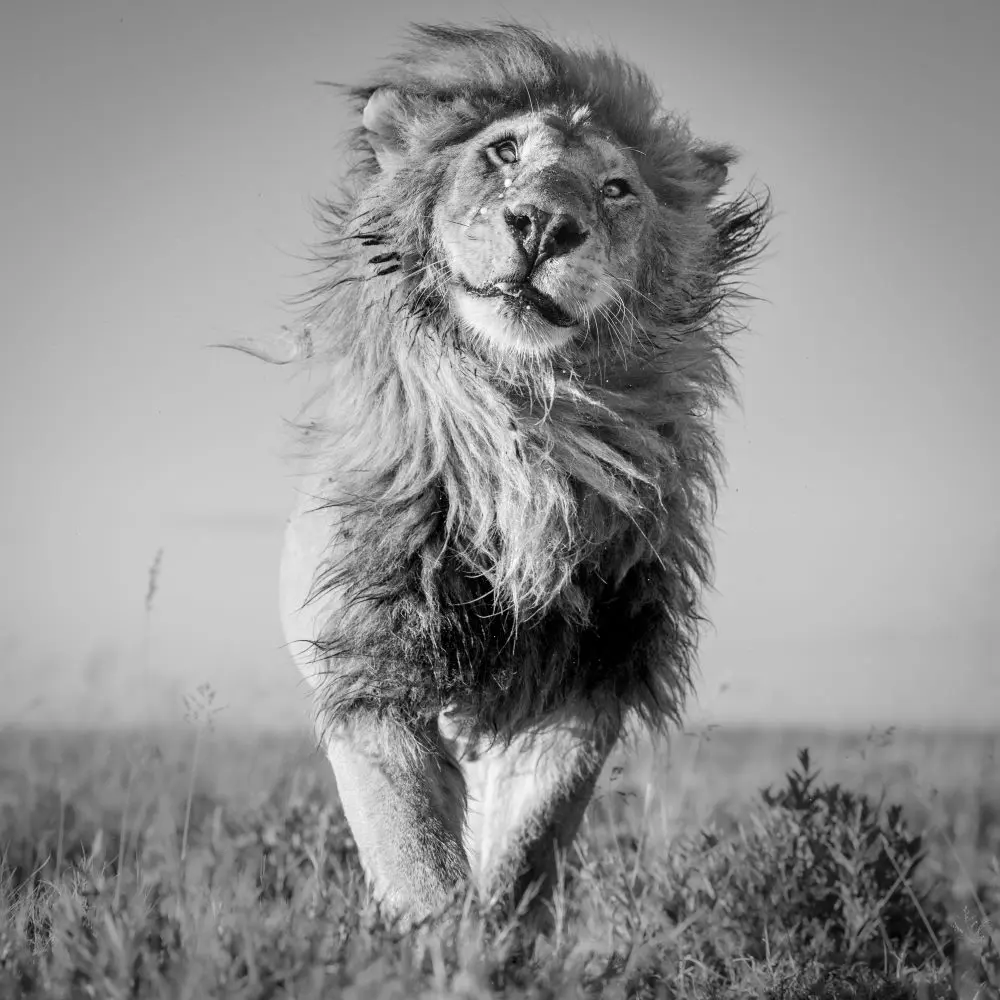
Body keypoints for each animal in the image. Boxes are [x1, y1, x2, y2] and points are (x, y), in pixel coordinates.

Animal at [273, 24, 769, 925]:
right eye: (502, 151)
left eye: (615, 188)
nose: (543, 225)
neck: (525, 424)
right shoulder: (373, 672)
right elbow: (416, 857)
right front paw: (440, 939)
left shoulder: (587, 676)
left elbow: (528, 850)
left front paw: (499, 935)